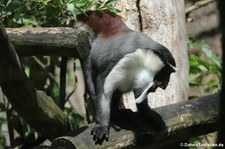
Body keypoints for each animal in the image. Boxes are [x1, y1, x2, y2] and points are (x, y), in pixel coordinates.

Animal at [73, 10, 177, 144]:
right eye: (166, 72)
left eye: (169, 73)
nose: (165, 84)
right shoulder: (120, 60)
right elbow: (103, 85)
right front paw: (103, 124)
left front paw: (149, 114)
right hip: (86, 43)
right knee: (91, 79)